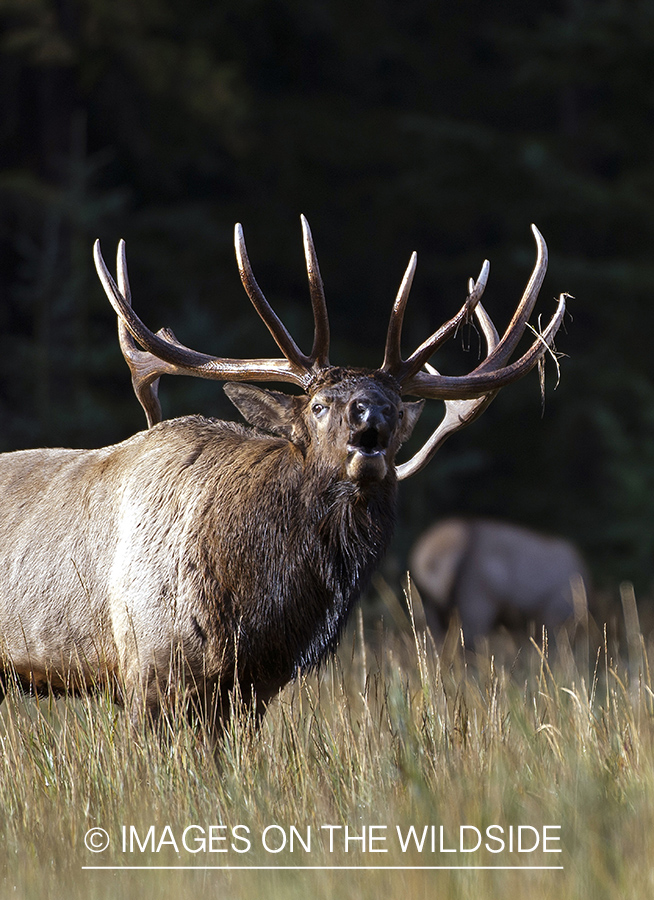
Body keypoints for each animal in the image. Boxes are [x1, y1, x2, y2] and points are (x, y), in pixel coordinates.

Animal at [0, 220, 564, 740]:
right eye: (318, 405)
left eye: (395, 404)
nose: (371, 417)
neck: (253, 602)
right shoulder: (146, 664)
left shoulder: (252, 688)